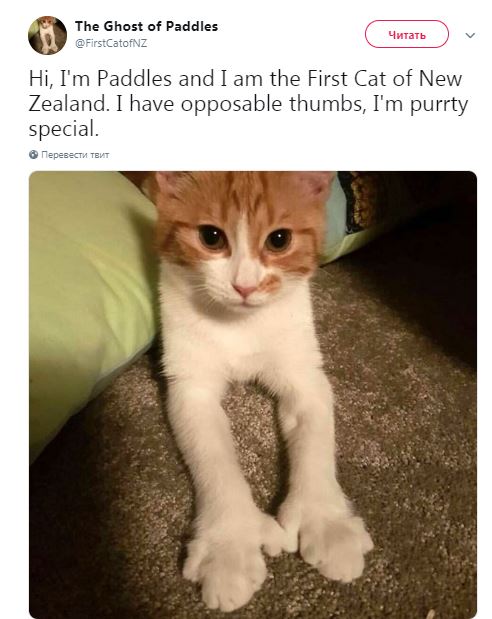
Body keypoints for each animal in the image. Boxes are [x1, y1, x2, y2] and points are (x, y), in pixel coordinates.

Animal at [152, 171, 373, 612]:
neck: (238, 323)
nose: (245, 286)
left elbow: (315, 435)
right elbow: (214, 460)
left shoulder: (303, 371)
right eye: (211, 236)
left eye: (279, 239)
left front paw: (325, 519)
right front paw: (230, 543)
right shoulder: (189, 383)